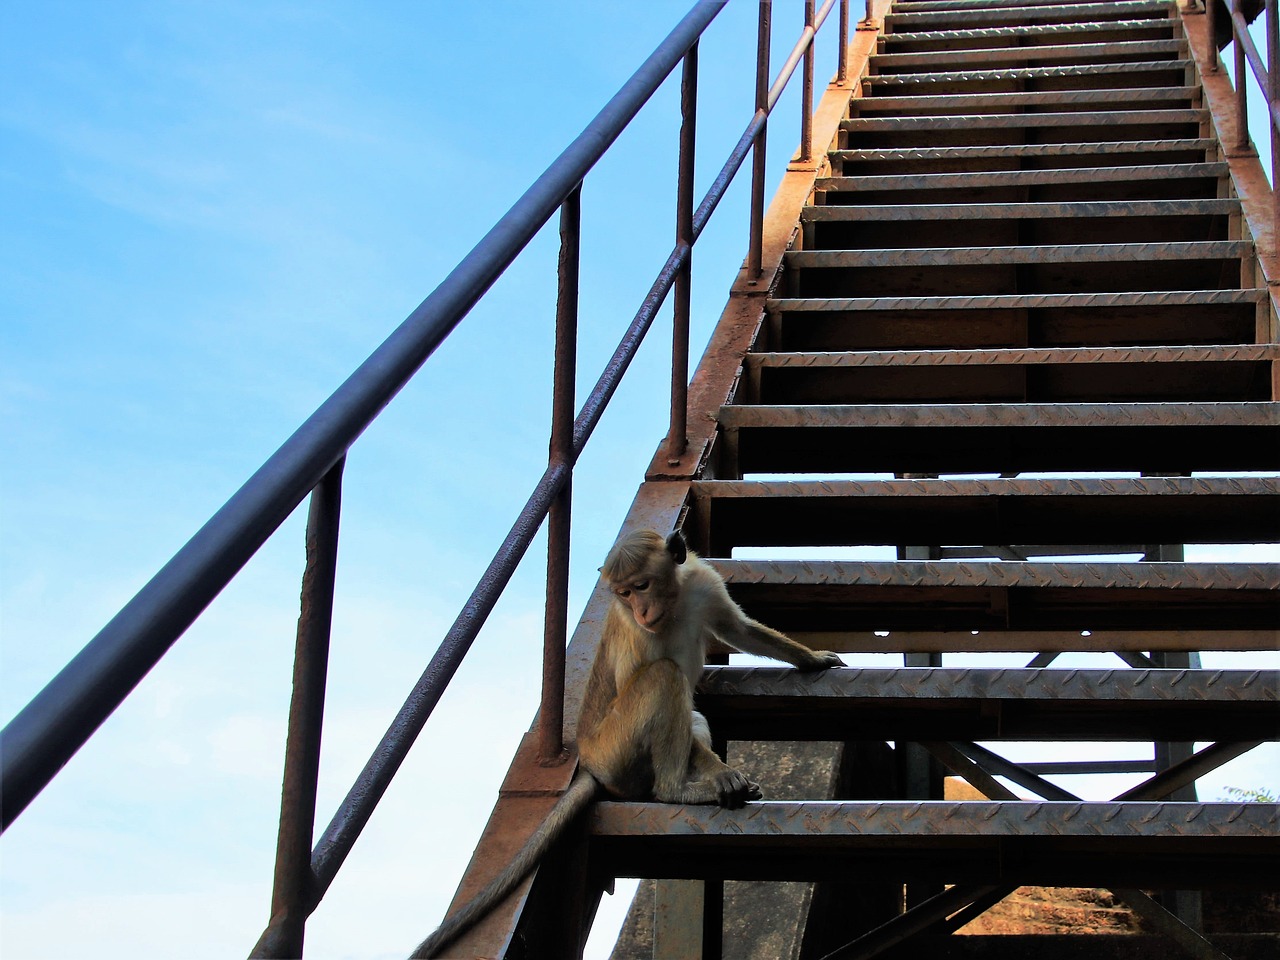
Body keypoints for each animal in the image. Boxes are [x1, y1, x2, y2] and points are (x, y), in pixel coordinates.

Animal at [414, 529, 844, 957]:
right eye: (623, 594)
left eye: (641, 586)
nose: (640, 610)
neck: (673, 603)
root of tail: (590, 761)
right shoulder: (635, 632)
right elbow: (649, 676)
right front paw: (722, 775)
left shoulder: (704, 584)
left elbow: (737, 629)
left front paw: (812, 658)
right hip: (616, 750)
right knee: (663, 677)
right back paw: (676, 791)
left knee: (692, 716)